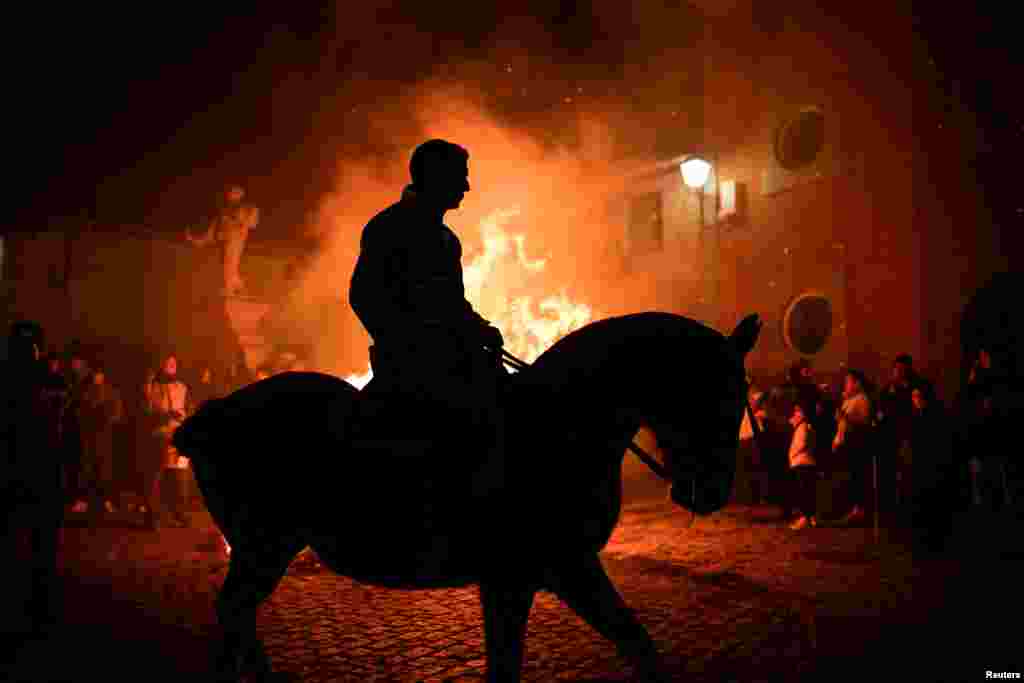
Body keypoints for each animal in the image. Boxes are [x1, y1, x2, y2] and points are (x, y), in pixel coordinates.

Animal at [176, 313, 765, 679]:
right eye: (712, 395)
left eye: (740, 396)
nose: (711, 493)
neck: (559, 423)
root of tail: (211, 415)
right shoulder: (536, 573)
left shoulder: (546, 575)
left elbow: (634, 645)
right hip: (263, 549)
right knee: (234, 616)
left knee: (235, 623)